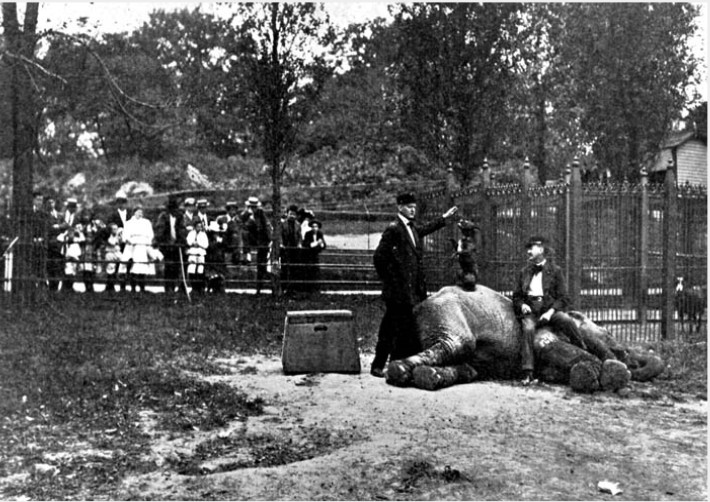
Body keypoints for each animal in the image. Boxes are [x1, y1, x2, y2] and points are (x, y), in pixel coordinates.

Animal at [386, 284, 664, 394]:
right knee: (455, 343)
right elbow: (551, 347)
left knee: (466, 366)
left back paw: (426, 376)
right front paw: (608, 373)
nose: (624, 354)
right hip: (447, 313)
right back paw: (399, 370)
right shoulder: (543, 334)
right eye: (608, 335)